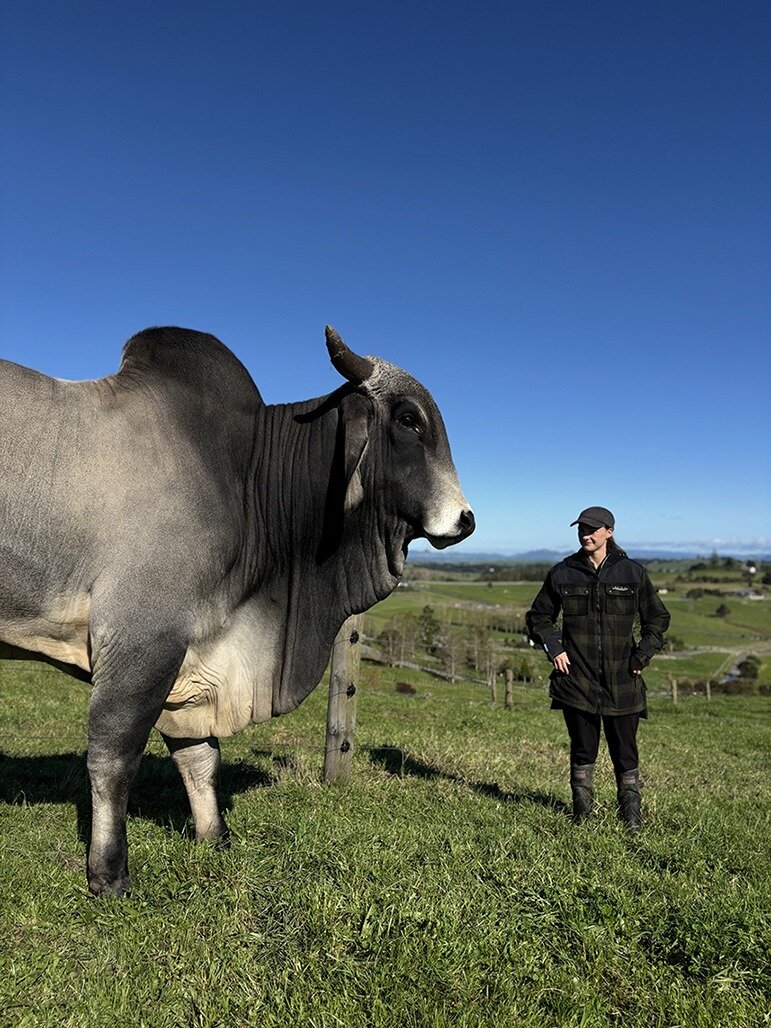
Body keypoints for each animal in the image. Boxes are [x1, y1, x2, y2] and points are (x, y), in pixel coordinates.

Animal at [0, 325, 474, 895]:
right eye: (407, 419)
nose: (466, 519)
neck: (249, 478)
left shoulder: (190, 666)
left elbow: (200, 758)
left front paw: (215, 838)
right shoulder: (142, 643)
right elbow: (114, 758)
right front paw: (109, 874)